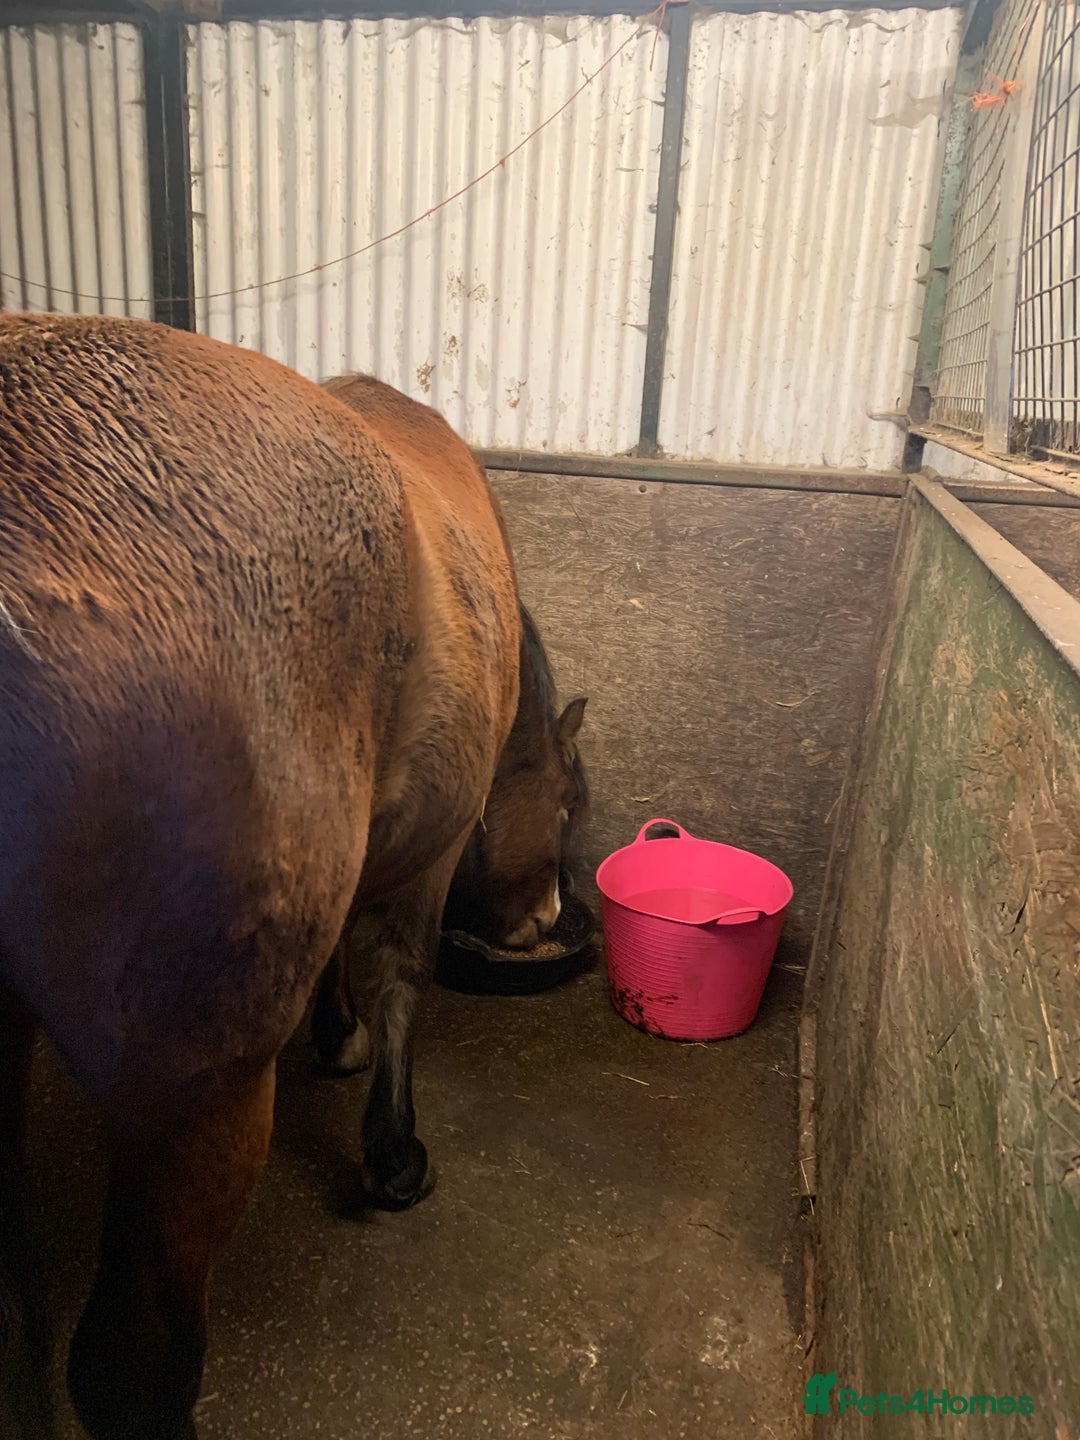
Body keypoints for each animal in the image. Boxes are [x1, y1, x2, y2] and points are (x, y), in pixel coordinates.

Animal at [0, 314, 587, 1440]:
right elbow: (398, 977)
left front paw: (335, 1033)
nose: (542, 917)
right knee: (130, 1368)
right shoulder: (427, 856)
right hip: (195, 1098)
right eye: (570, 800)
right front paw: (392, 1150)